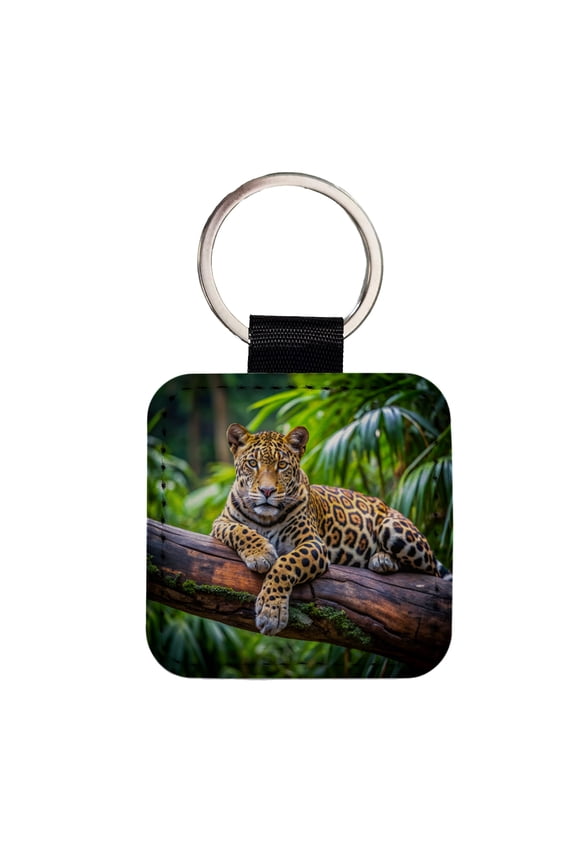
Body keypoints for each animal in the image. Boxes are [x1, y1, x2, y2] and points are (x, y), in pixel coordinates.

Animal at [212, 423, 447, 637]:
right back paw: (382, 560)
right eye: (252, 463)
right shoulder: (221, 523)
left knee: (431, 577)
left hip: (393, 528)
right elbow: (240, 531)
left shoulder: (313, 543)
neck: (266, 518)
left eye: (282, 465)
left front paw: (272, 613)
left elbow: (285, 564)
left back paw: (385, 559)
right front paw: (260, 553)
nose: (267, 491)